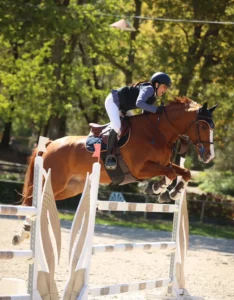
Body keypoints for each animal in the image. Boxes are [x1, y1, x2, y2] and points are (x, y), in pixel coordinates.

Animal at [12, 97, 218, 245]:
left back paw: (24, 233)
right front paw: (158, 189)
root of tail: (49, 144)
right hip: (54, 181)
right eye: (203, 126)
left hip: (69, 188)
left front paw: (173, 192)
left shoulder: (161, 163)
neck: (158, 132)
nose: (209, 156)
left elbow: (184, 172)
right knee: (32, 200)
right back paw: (20, 235)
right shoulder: (140, 169)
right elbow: (170, 173)